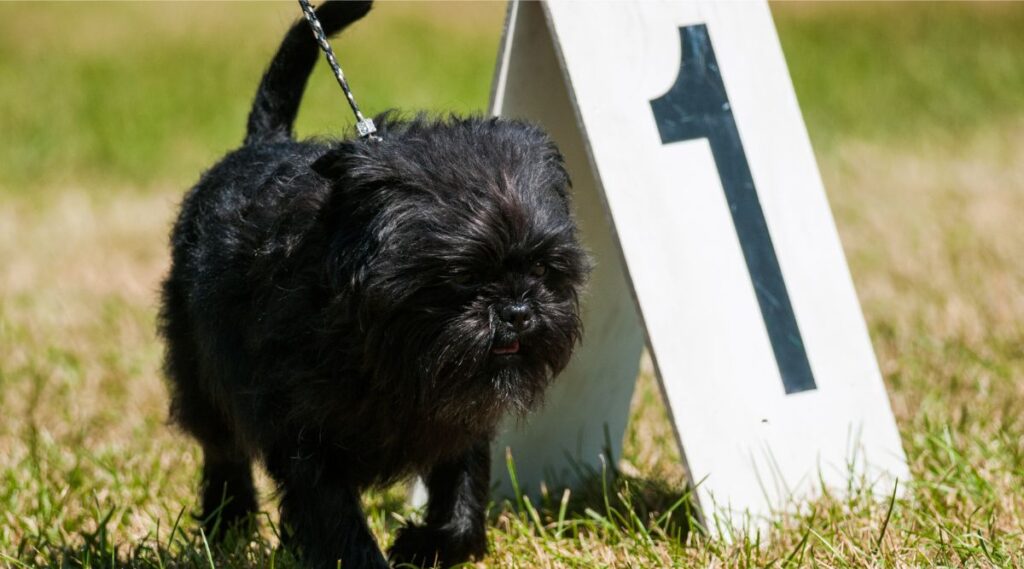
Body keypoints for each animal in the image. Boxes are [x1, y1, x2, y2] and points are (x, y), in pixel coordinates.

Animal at [160, 2, 593, 564]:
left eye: (541, 270)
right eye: (461, 276)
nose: (518, 310)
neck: (387, 351)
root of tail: (263, 142)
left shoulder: (460, 419)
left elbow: (463, 491)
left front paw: (429, 545)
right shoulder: (303, 437)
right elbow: (337, 520)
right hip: (199, 368)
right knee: (222, 448)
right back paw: (227, 522)